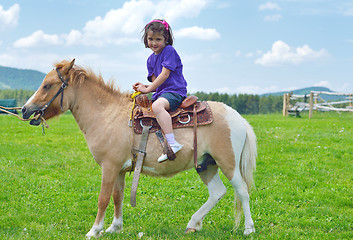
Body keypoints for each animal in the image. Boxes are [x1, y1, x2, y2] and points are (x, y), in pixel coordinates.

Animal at [20, 59, 256, 238]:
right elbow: (118, 196)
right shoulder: (120, 169)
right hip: (205, 164)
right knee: (217, 192)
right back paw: (193, 223)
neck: (107, 114)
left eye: (48, 85)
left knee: (242, 191)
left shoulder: (109, 166)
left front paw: (94, 230)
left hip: (228, 163)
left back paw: (248, 229)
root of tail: (237, 117)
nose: (24, 109)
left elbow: (103, 198)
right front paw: (114, 227)